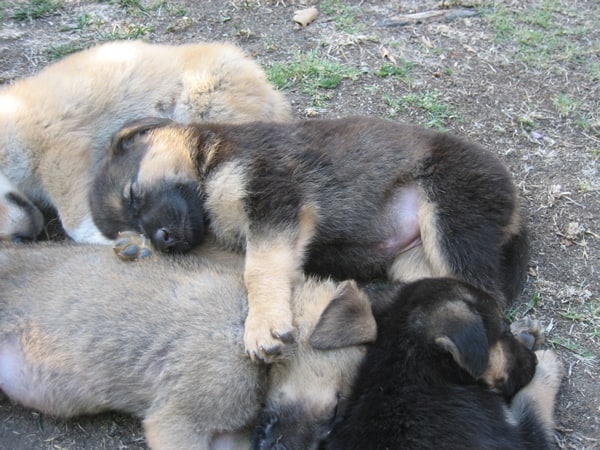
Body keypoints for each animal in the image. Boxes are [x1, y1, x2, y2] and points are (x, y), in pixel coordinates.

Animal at [90, 116, 528, 362]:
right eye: (130, 221)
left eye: (133, 195)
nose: (161, 240)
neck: (210, 158)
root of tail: (516, 206)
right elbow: (242, 264)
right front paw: (137, 247)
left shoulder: (273, 200)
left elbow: (258, 271)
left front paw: (263, 325)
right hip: (412, 259)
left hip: (448, 217)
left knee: (485, 298)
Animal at [316, 278, 564, 450]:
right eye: (502, 330)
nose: (533, 361)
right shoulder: (522, 441)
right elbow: (531, 405)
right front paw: (545, 365)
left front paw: (526, 332)